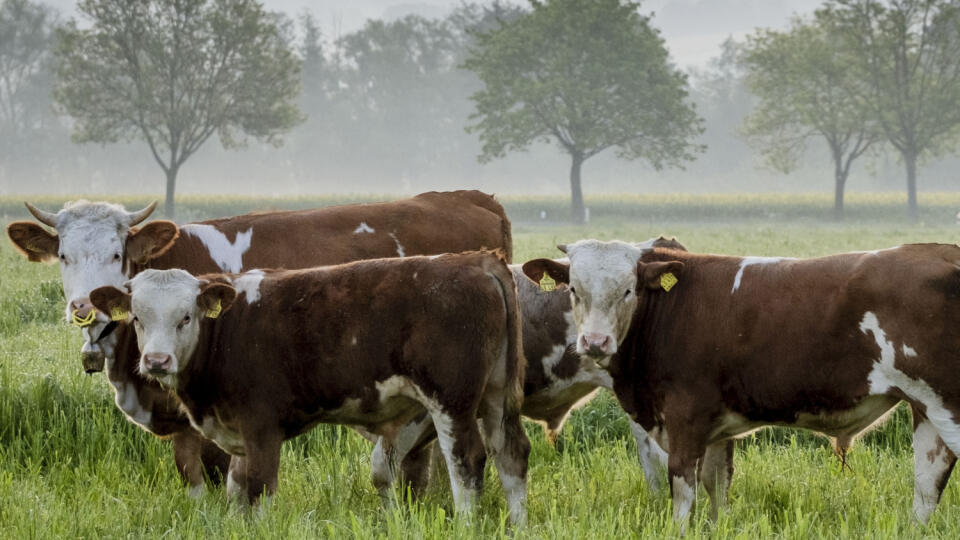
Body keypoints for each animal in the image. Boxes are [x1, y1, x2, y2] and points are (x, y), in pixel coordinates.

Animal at [88, 252, 532, 524]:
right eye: (138, 318)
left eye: (185, 317)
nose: (156, 361)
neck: (224, 332)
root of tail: (474, 260)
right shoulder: (238, 434)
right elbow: (235, 489)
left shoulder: (262, 428)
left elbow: (259, 488)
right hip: (495, 396)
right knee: (511, 455)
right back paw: (518, 526)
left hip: (451, 400)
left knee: (466, 463)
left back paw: (467, 524)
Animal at [520, 242, 960, 528]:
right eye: (573, 289)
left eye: (628, 290)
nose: (595, 342)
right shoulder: (716, 427)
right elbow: (718, 489)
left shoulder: (686, 418)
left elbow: (683, 491)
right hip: (925, 407)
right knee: (928, 482)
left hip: (948, 405)